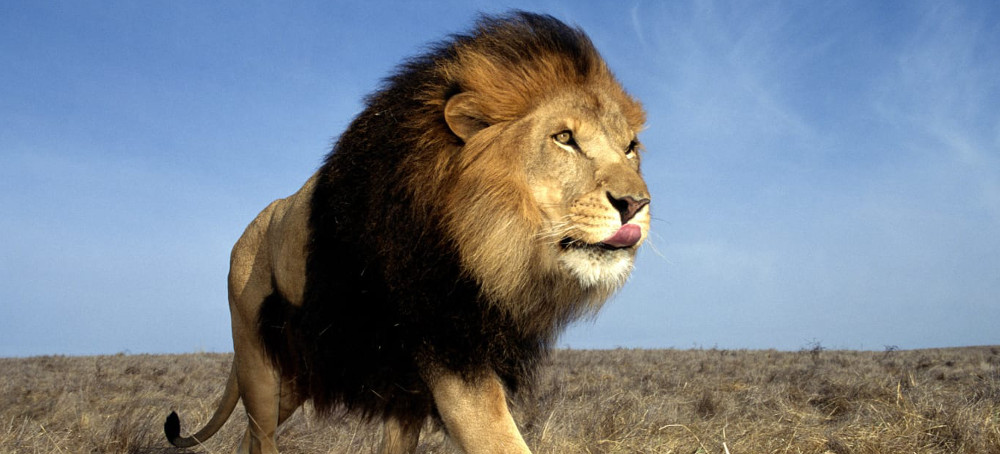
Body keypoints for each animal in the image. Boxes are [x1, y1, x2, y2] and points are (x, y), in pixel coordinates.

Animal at [164, 11, 649, 454]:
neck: (490, 245)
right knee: (260, 432)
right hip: (258, 363)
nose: (636, 205)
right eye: (564, 138)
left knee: (248, 433)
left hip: (301, 375)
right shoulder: (452, 353)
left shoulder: (419, 382)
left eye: (630, 149)